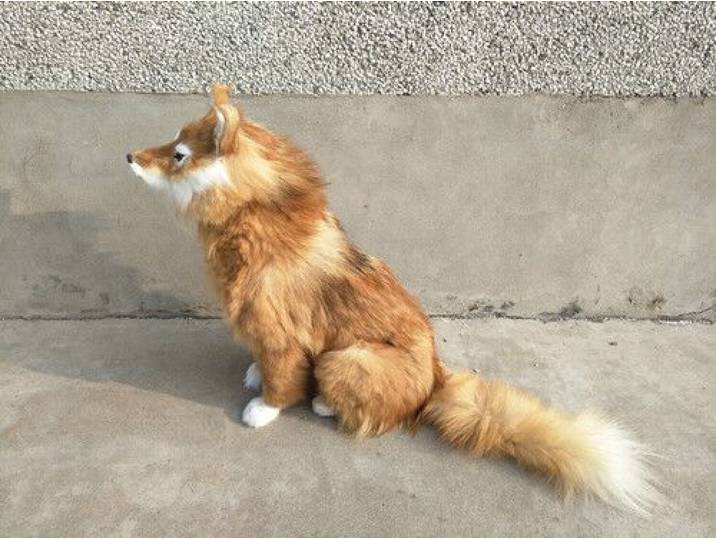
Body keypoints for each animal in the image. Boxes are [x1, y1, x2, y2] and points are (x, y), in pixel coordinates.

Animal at [127, 84, 660, 513]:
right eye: (171, 142)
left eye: (179, 155)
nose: (129, 157)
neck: (254, 216)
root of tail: (435, 381)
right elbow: (264, 362)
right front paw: (254, 372)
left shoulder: (281, 333)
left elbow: (280, 379)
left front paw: (263, 408)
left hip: (346, 359)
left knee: (377, 409)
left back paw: (325, 404)